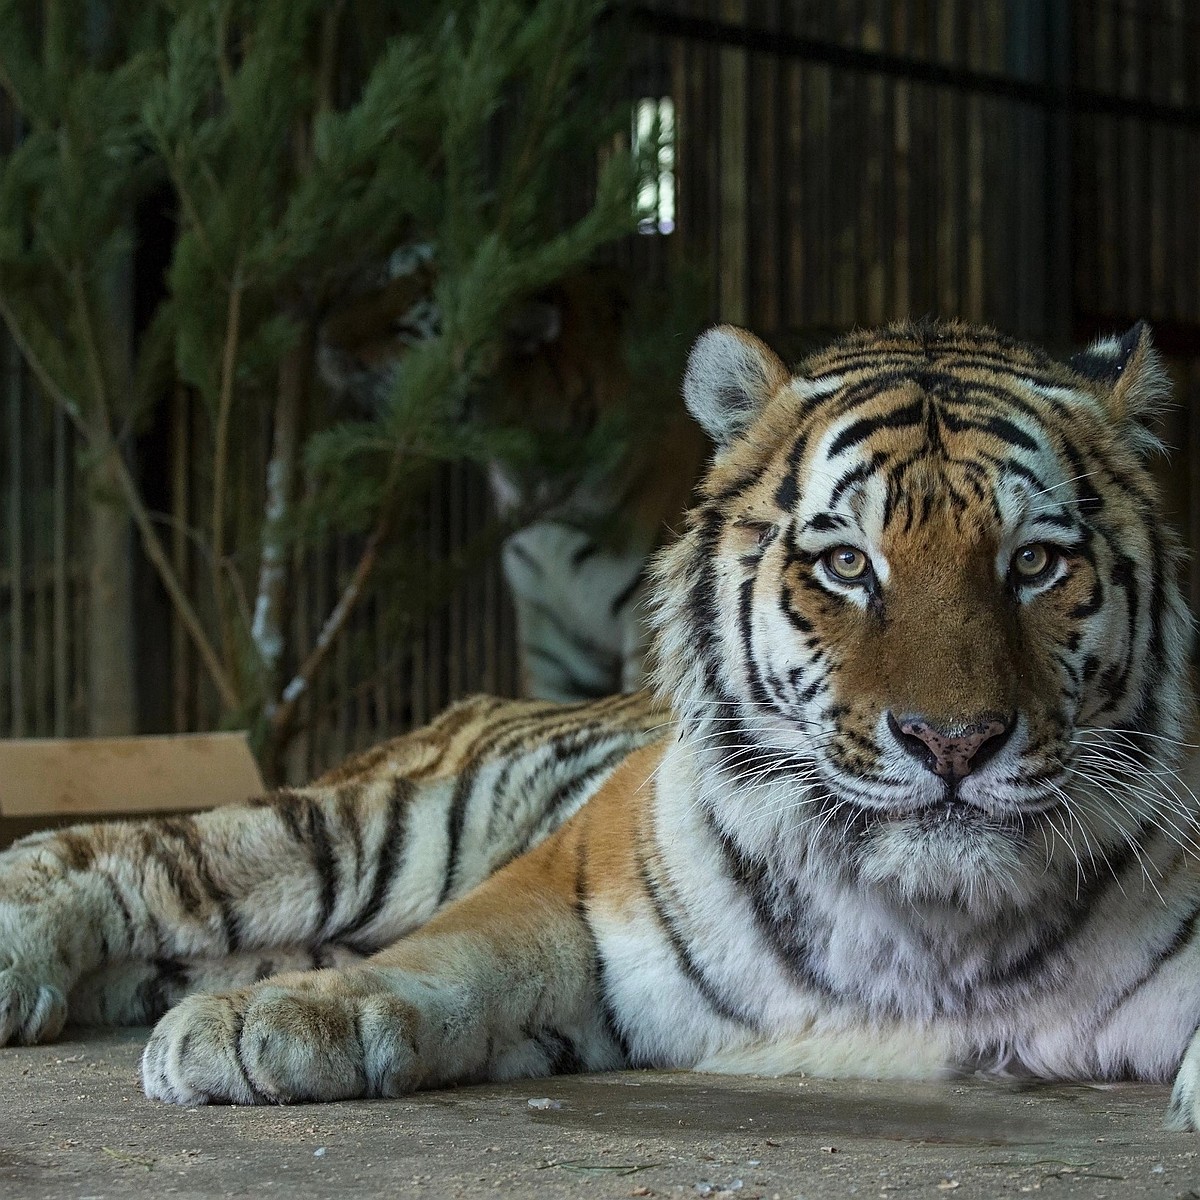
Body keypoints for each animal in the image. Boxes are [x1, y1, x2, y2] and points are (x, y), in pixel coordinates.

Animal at [2, 321, 1200, 1132]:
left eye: (1033, 562)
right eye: (848, 565)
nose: (953, 744)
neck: (928, 924)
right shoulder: (578, 881)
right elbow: (448, 958)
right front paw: (269, 1024)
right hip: (372, 831)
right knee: (128, 853)